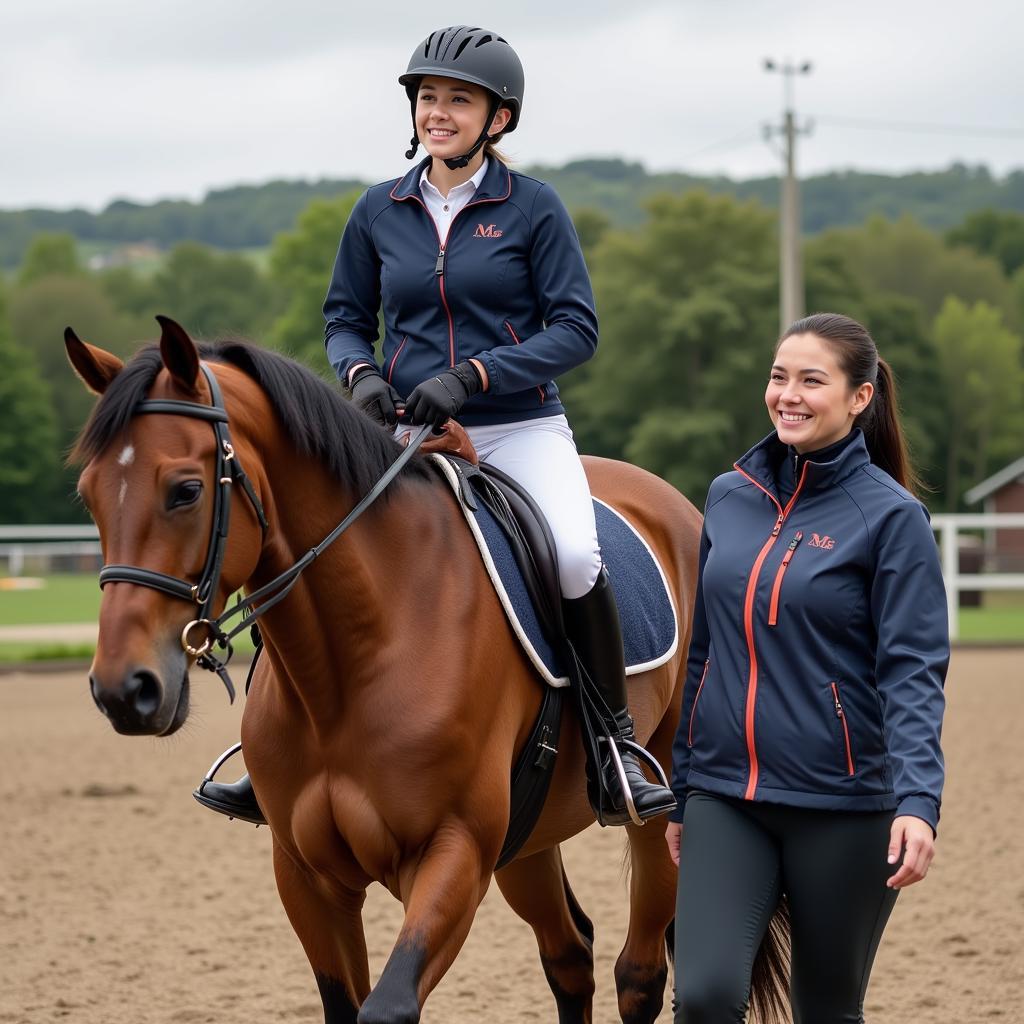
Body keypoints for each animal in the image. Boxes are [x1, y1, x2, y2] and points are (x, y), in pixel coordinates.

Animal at [66, 315, 782, 1019]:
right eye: (89, 495)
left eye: (185, 491)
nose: (124, 690)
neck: (353, 662)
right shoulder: (306, 876)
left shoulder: (452, 852)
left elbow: (388, 1006)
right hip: (528, 835)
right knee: (570, 954)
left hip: (657, 821)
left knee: (638, 974)